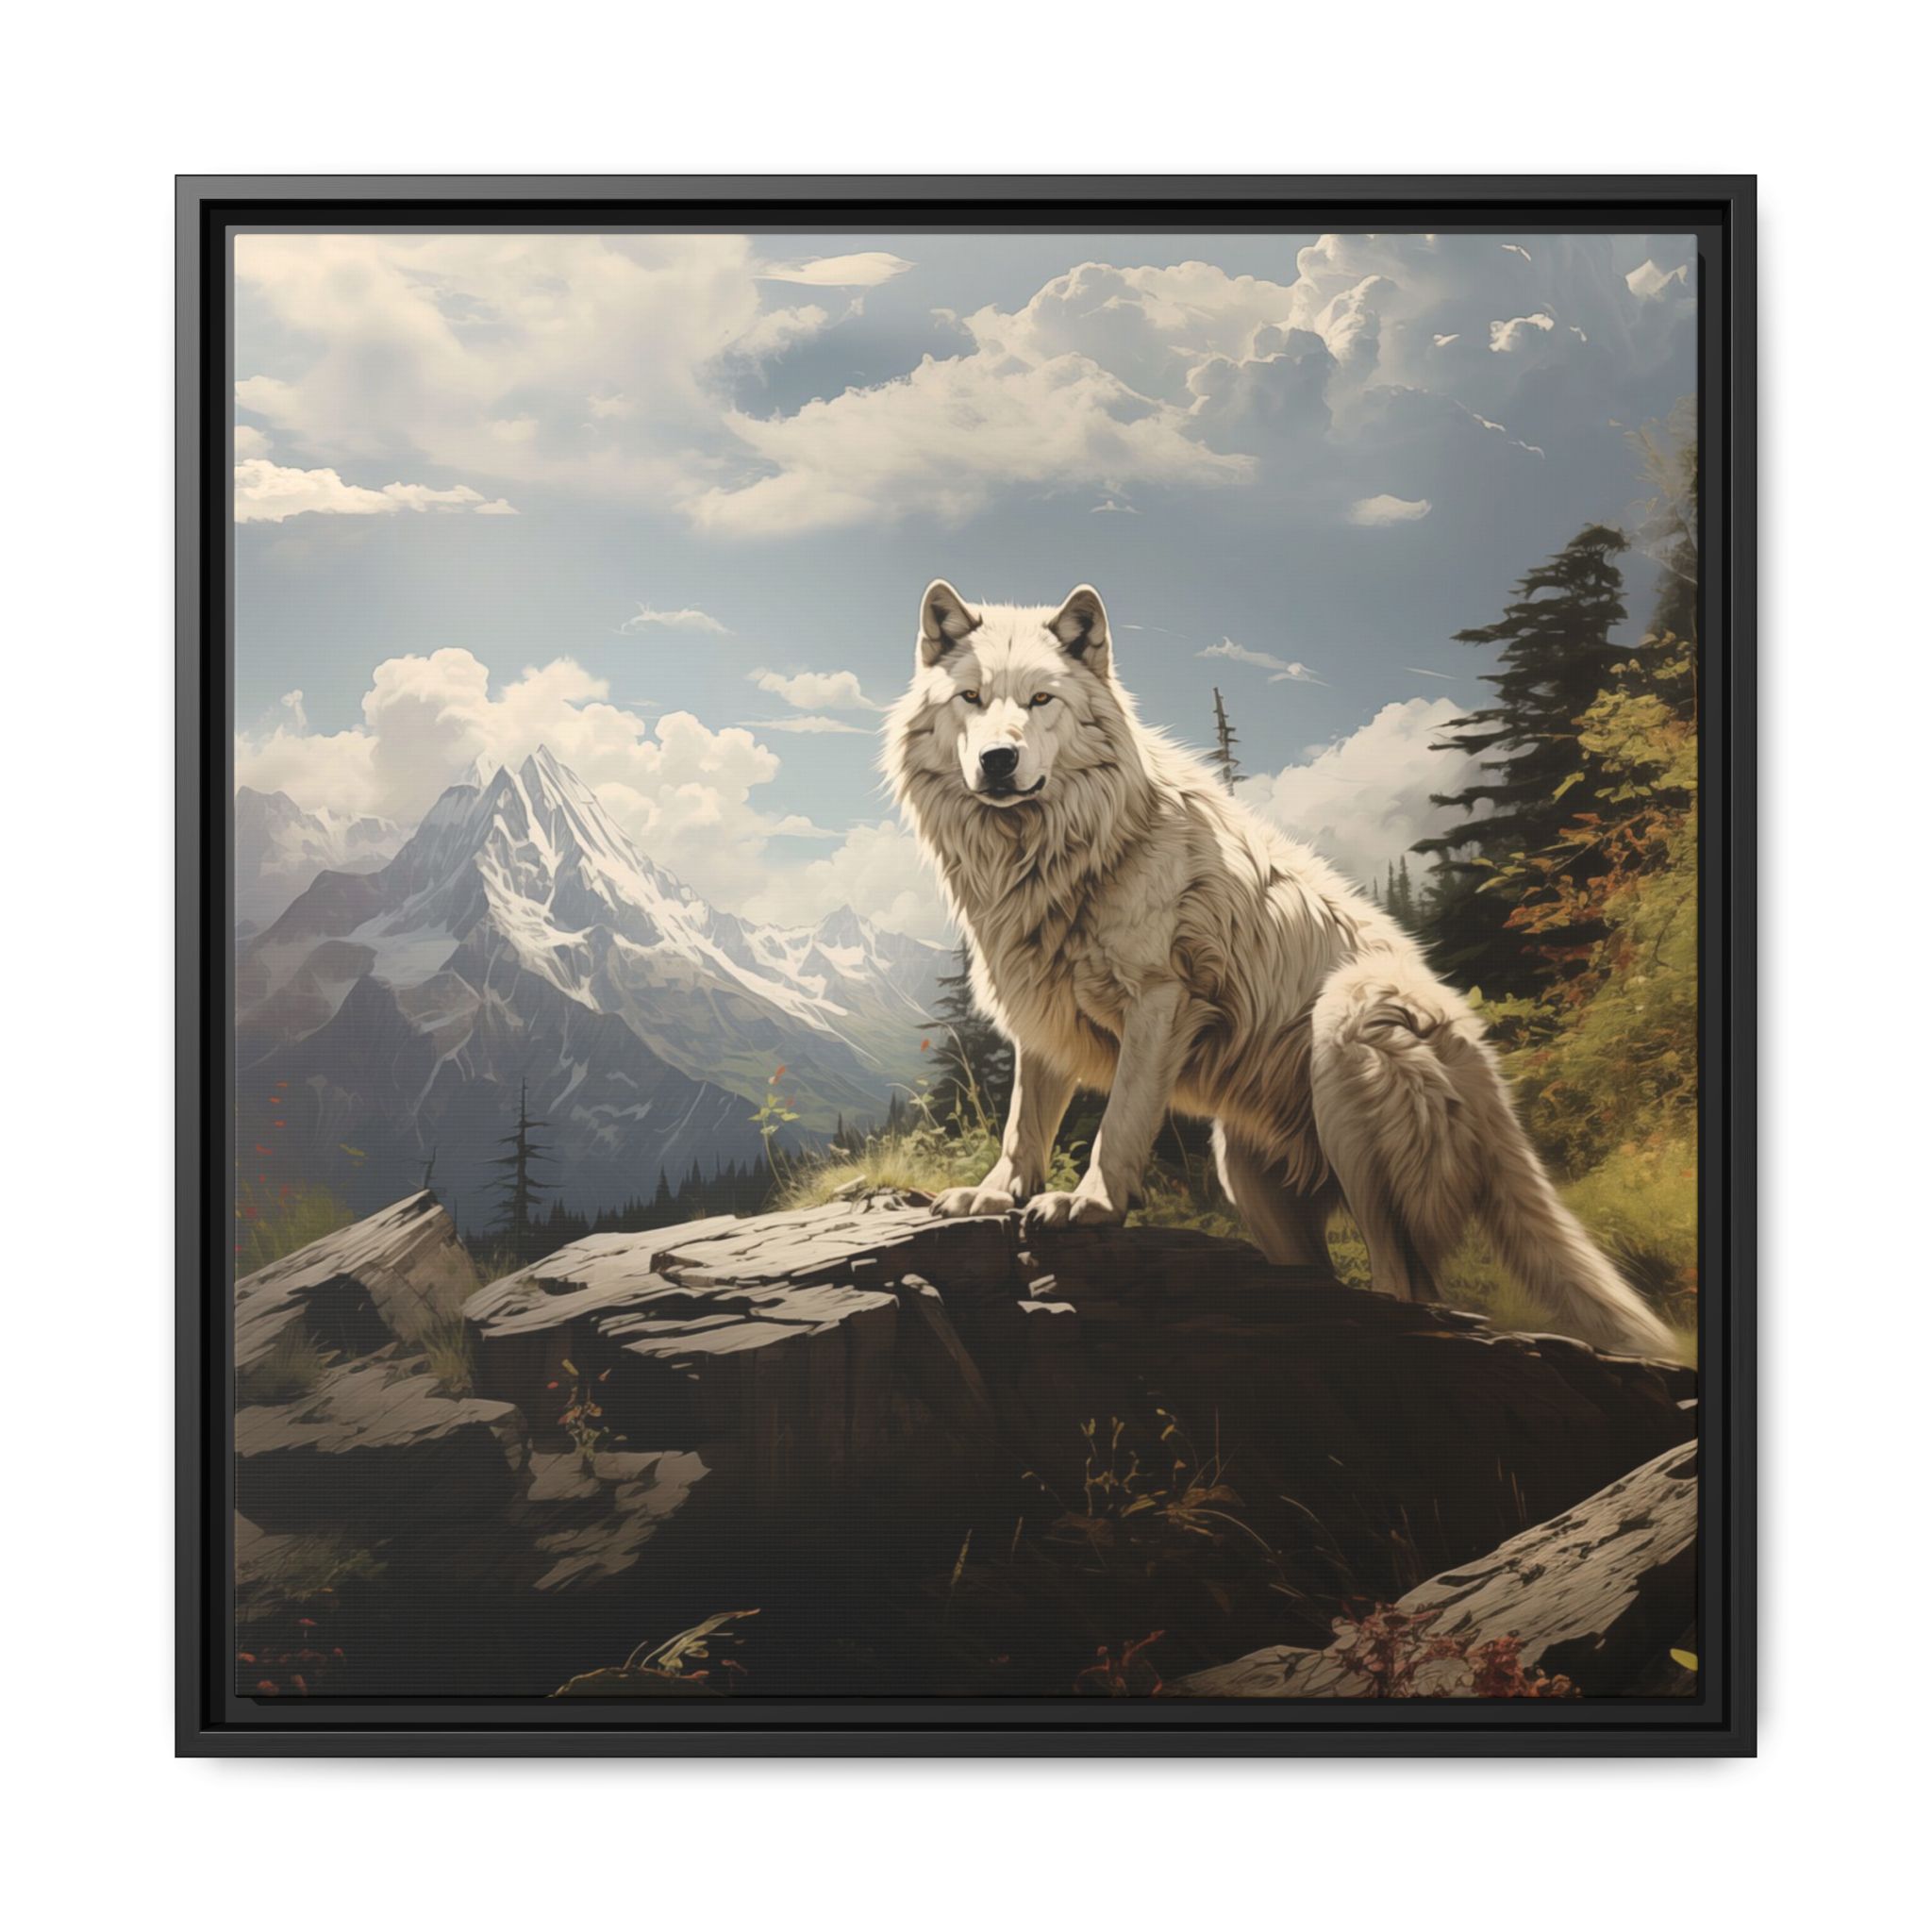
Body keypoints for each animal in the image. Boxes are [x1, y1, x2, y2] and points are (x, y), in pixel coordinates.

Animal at [885, 578, 1676, 1358]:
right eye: (972, 698)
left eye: (1041, 700)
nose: (998, 760)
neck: (1058, 848)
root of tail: (1487, 1071)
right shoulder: (1043, 1012)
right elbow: (1024, 1126)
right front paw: (993, 1196)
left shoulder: (1160, 999)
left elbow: (1120, 1122)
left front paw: (1091, 1205)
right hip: (1248, 1177)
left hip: (1350, 1054)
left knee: (1410, 1285)